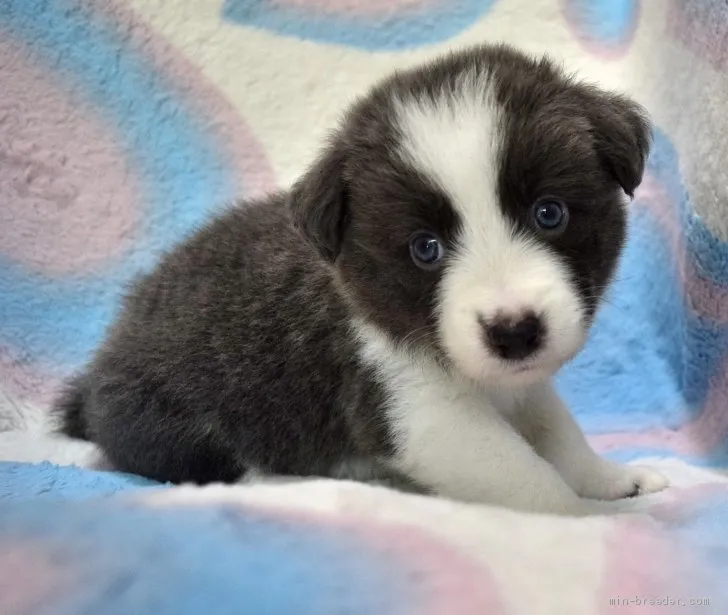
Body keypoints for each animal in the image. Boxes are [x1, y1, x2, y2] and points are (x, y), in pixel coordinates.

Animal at [55, 42, 672, 516]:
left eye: (550, 213)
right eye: (425, 248)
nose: (515, 332)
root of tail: (94, 380)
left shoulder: (523, 385)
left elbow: (558, 433)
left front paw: (610, 479)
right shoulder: (415, 409)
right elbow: (527, 475)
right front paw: (583, 518)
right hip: (177, 420)